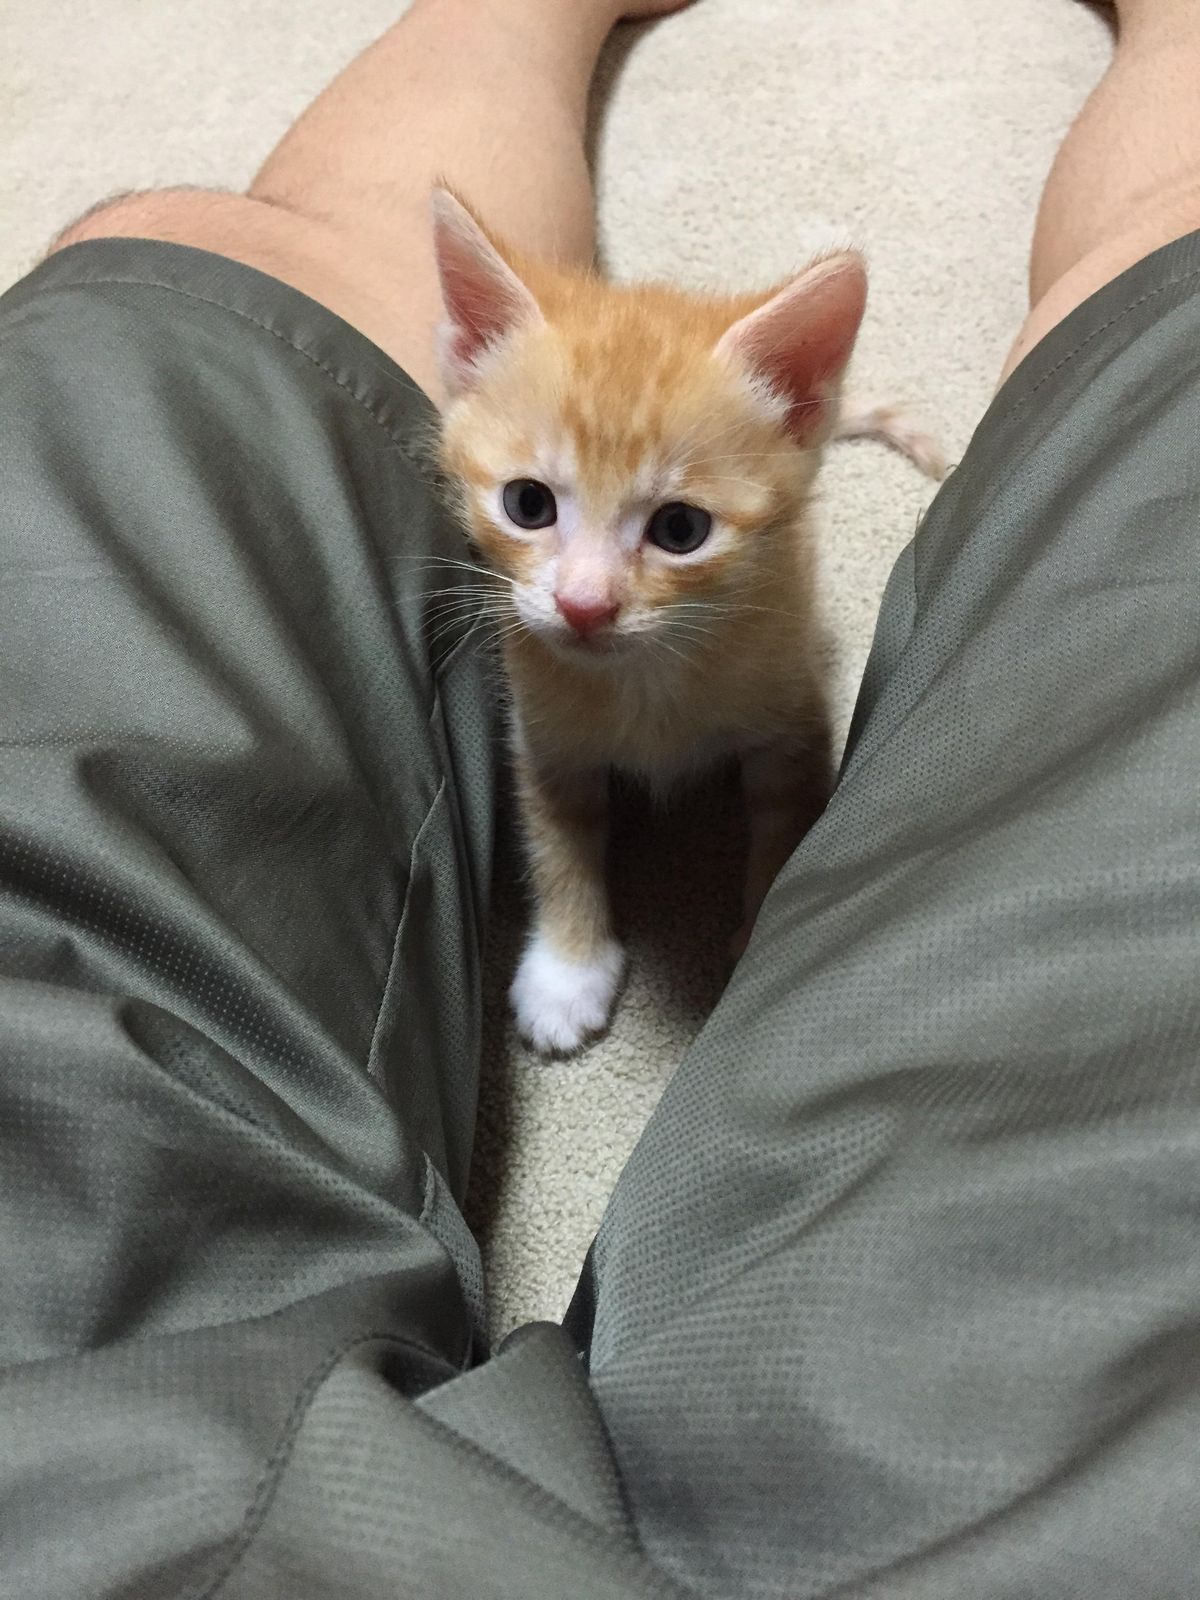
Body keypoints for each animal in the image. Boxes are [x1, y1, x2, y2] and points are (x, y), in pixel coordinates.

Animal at [431, 187, 942, 1054]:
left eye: (680, 530)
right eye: (527, 504)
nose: (584, 603)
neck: (646, 678)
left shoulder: (791, 716)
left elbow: (785, 824)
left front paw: (754, 947)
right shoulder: (545, 734)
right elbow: (557, 836)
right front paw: (566, 969)